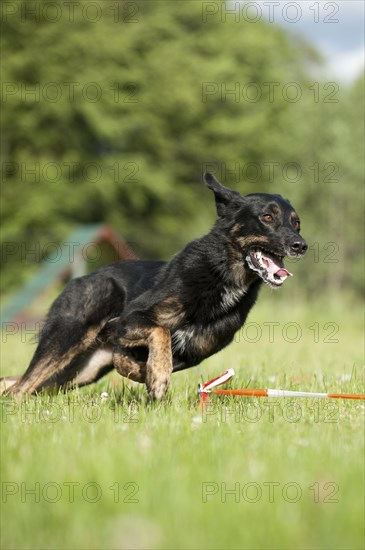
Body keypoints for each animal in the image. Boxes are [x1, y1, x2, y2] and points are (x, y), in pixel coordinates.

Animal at [1, 176, 306, 402]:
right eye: (267, 217)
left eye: (296, 222)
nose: (301, 245)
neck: (221, 275)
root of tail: (78, 279)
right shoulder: (130, 319)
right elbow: (160, 334)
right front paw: (156, 378)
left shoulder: (191, 353)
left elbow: (143, 361)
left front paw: (147, 374)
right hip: (65, 341)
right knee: (22, 387)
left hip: (80, 372)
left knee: (16, 384)